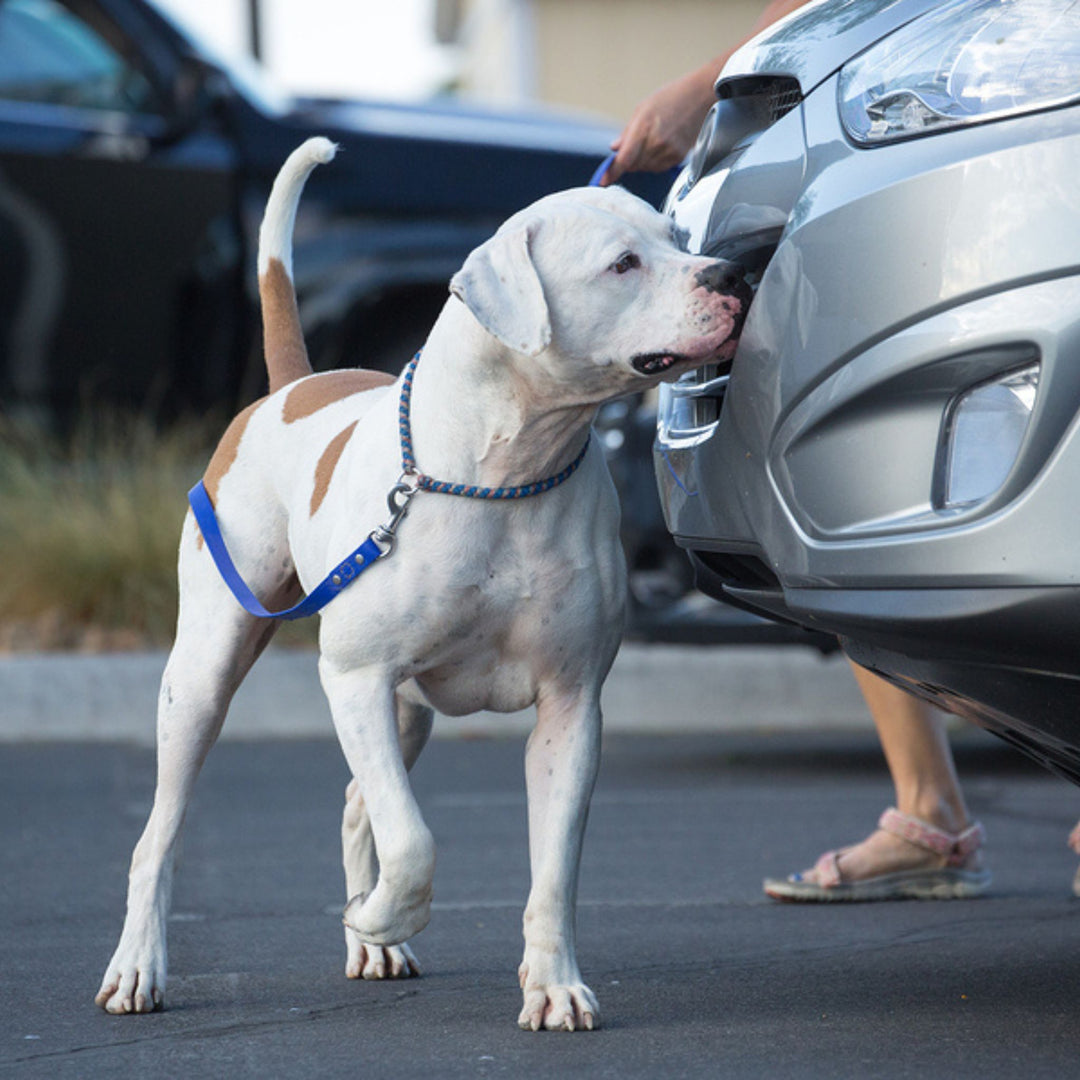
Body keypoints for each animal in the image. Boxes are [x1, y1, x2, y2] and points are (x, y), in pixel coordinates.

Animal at [95, 135, 751, 1028]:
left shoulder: (570, 707)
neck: (507, 470)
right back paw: (141, 964)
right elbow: (412, 839)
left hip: (403, 713)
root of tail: (288, 388)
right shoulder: (356, 678)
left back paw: (370, 944)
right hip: (204, 672)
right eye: (623, 264)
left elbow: (553, 872)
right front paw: (381, 912)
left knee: (354, 800)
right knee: (159, 832)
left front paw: (552, 984)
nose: (733, 274)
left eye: (679, 240)